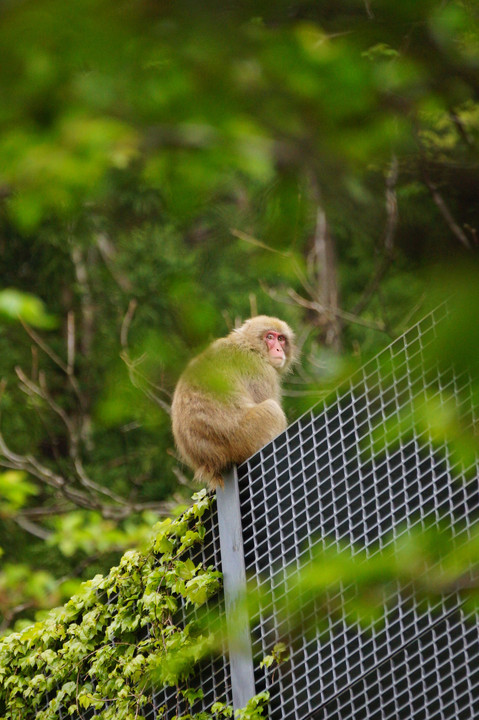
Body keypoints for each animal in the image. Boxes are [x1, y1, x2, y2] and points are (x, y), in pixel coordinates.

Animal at [172, 316, 298, 490]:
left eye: (281, 339)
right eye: (270, 337)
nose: (279, 349)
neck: (251, 346)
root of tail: (212, 463)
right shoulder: (260, 371)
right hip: (243, 437)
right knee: (272, 410)